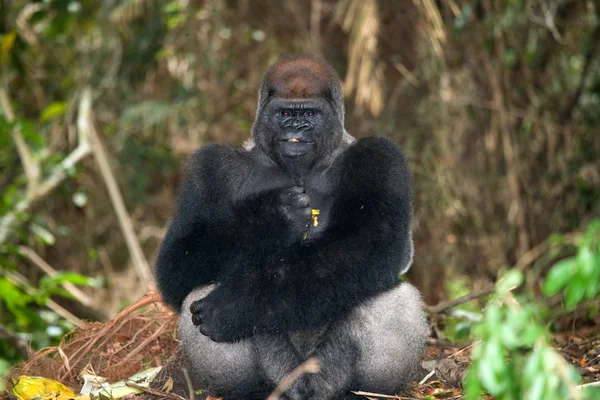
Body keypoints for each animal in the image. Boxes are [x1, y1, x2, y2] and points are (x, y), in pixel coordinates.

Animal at [155, 54, 426, 400]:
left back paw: (366, 391)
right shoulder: (210, 166)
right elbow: (177, 263)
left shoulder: (380, 155)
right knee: (200, 289)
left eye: (308, 113)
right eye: (285, 113)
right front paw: (273, 218)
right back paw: (249, 391)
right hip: (282, 374)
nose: (295, 127)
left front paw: (237, 306)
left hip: (325, 375)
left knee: (391, 295)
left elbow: (371, 246)